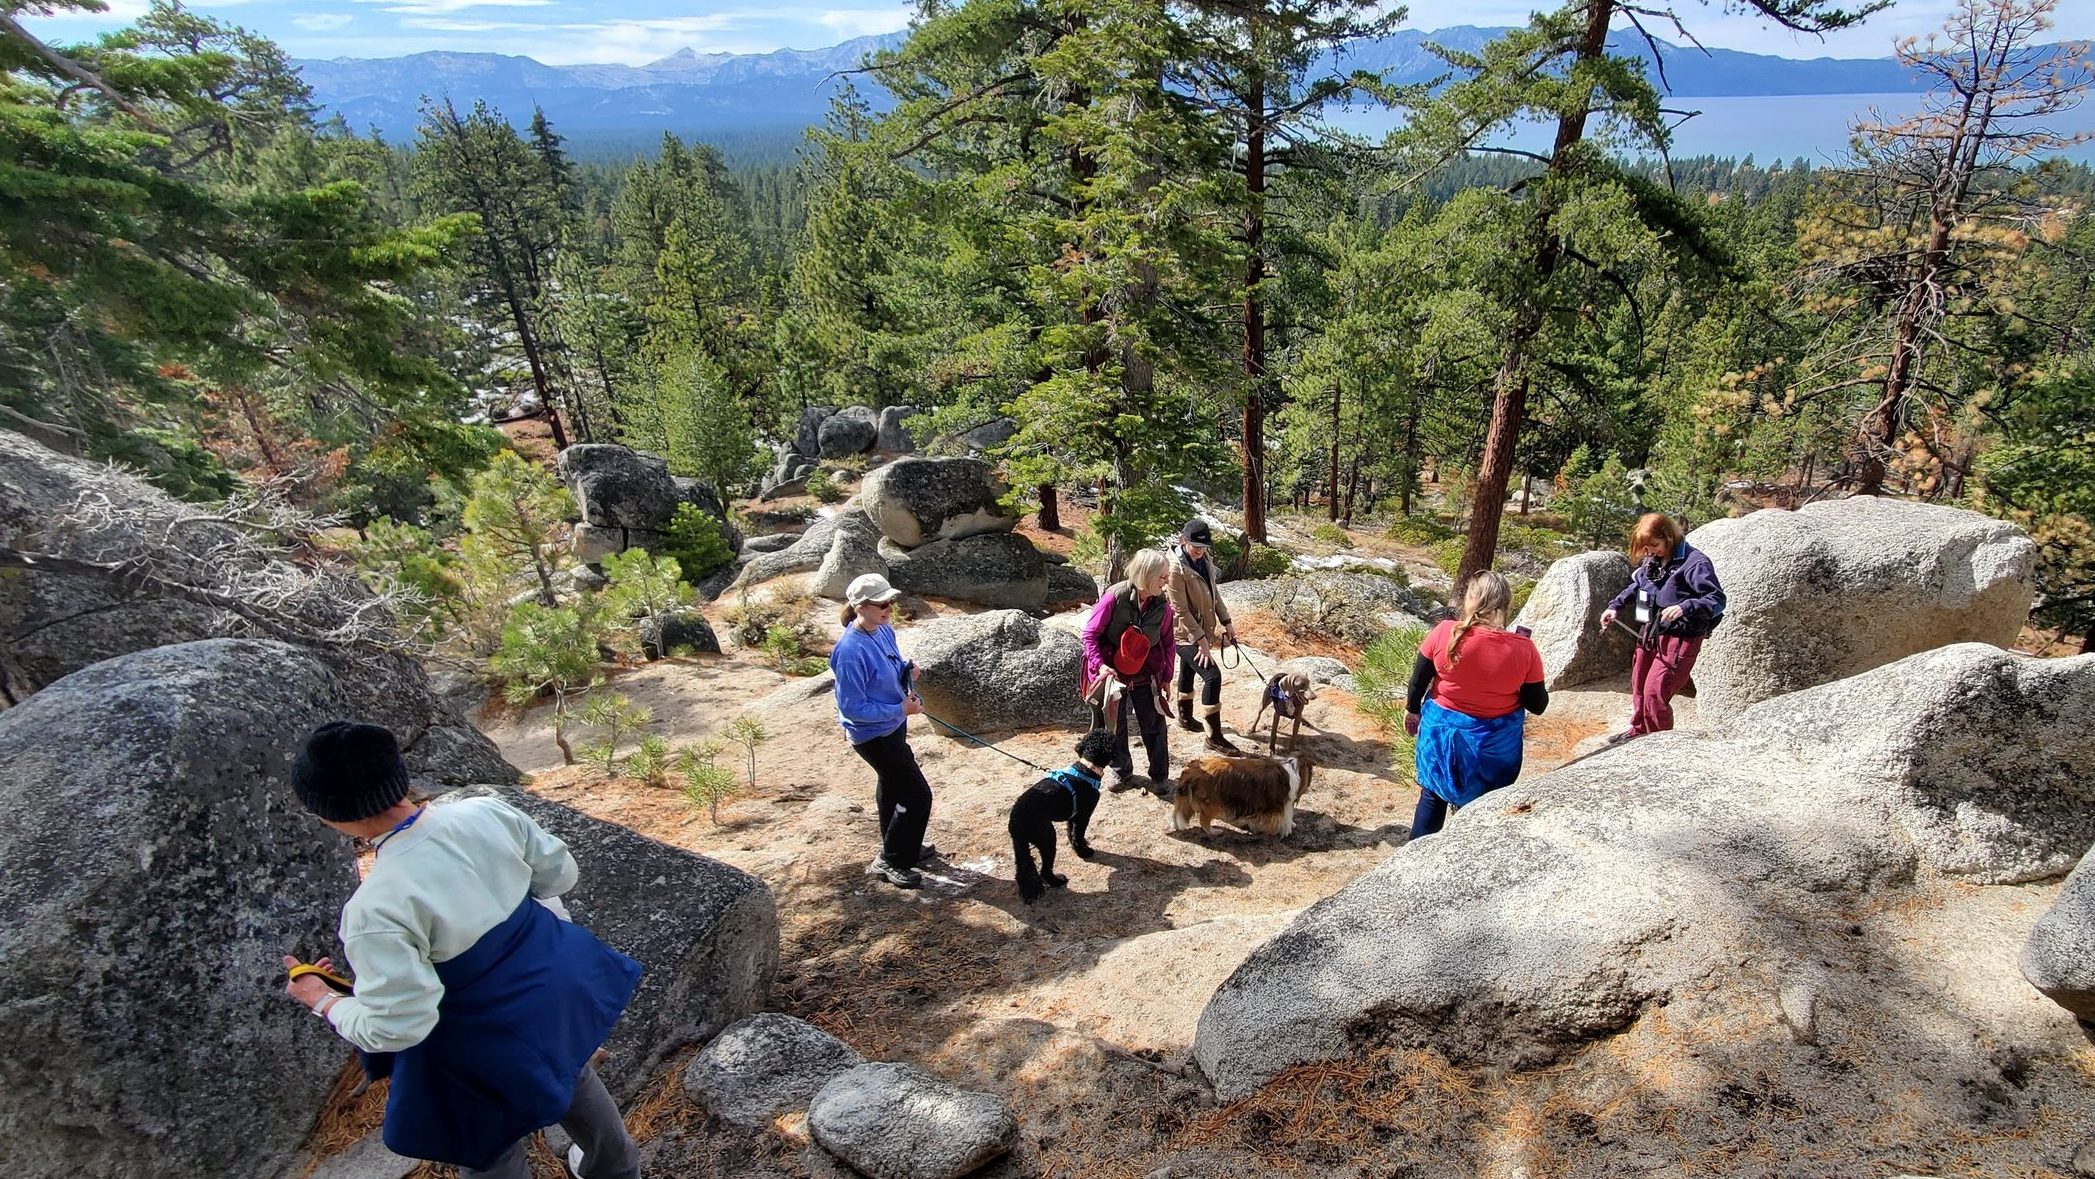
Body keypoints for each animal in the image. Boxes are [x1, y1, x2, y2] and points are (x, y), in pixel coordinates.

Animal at [1005, 728, 1122, 904]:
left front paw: (1080, 848)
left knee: (1023, 870)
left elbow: (1072, 835)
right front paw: (1084, 853)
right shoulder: (1083, 816)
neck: (1087, 768)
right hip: (1047, 838)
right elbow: (1078, 835)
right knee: (1045, 870)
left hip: (1020, 845)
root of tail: (1016, 820)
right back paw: (1057, 881)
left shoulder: (1072, 817)